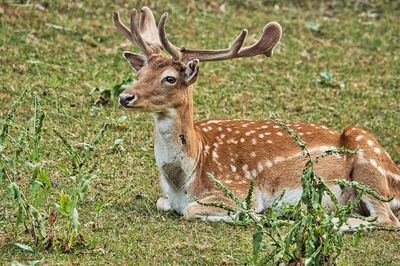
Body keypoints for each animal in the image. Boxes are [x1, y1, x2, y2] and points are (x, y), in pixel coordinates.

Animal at [111, 6, 400, 228]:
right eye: (140, 74)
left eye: (169, 78)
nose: (125, 97)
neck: (185, 179)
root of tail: (396, 181)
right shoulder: (166, 197)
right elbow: (163, 204)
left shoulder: (238, 189)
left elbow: (193, 210)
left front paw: (257, 215)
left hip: (368, 160)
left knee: (386, 219)